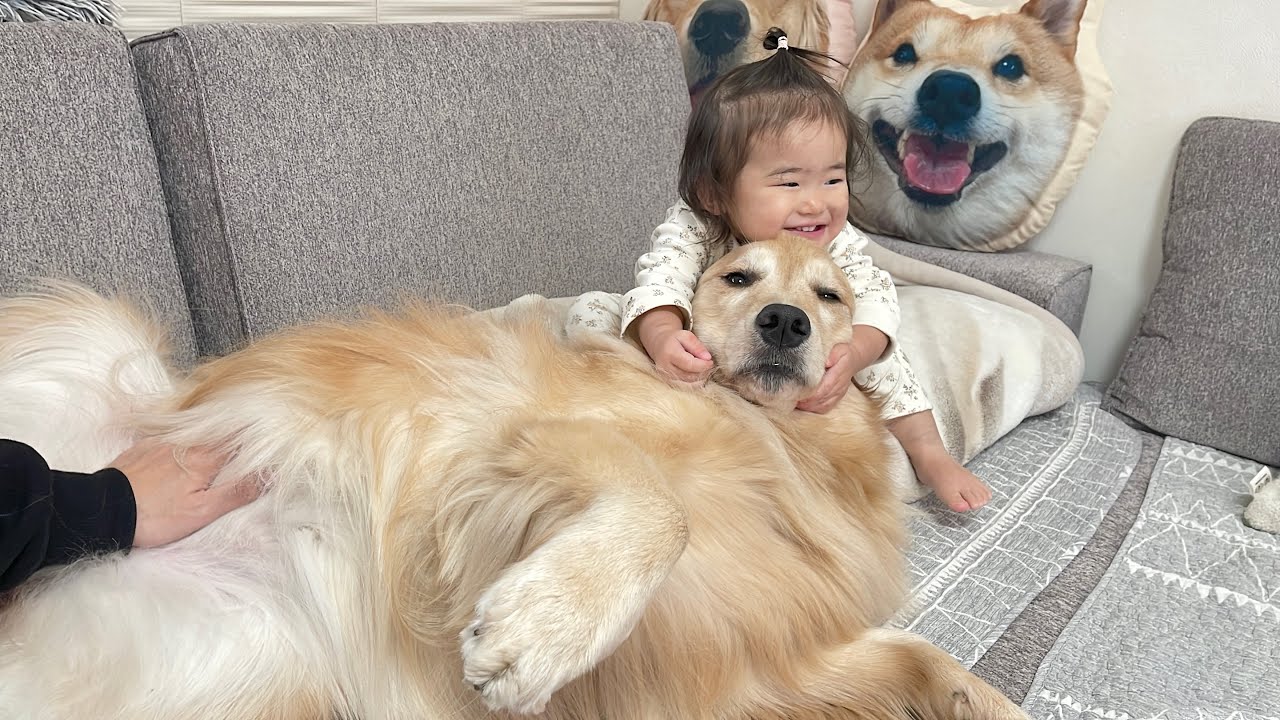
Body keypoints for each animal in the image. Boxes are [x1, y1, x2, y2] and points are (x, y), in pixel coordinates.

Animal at [0, 238, 1029, 719]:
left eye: (831, 296)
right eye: (739, 277)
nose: (785, 322)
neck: (780, 447)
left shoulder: (752, 658)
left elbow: (922, 657)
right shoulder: (521, 437)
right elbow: (662, 506)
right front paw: (546, 625)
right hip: (99, 339)